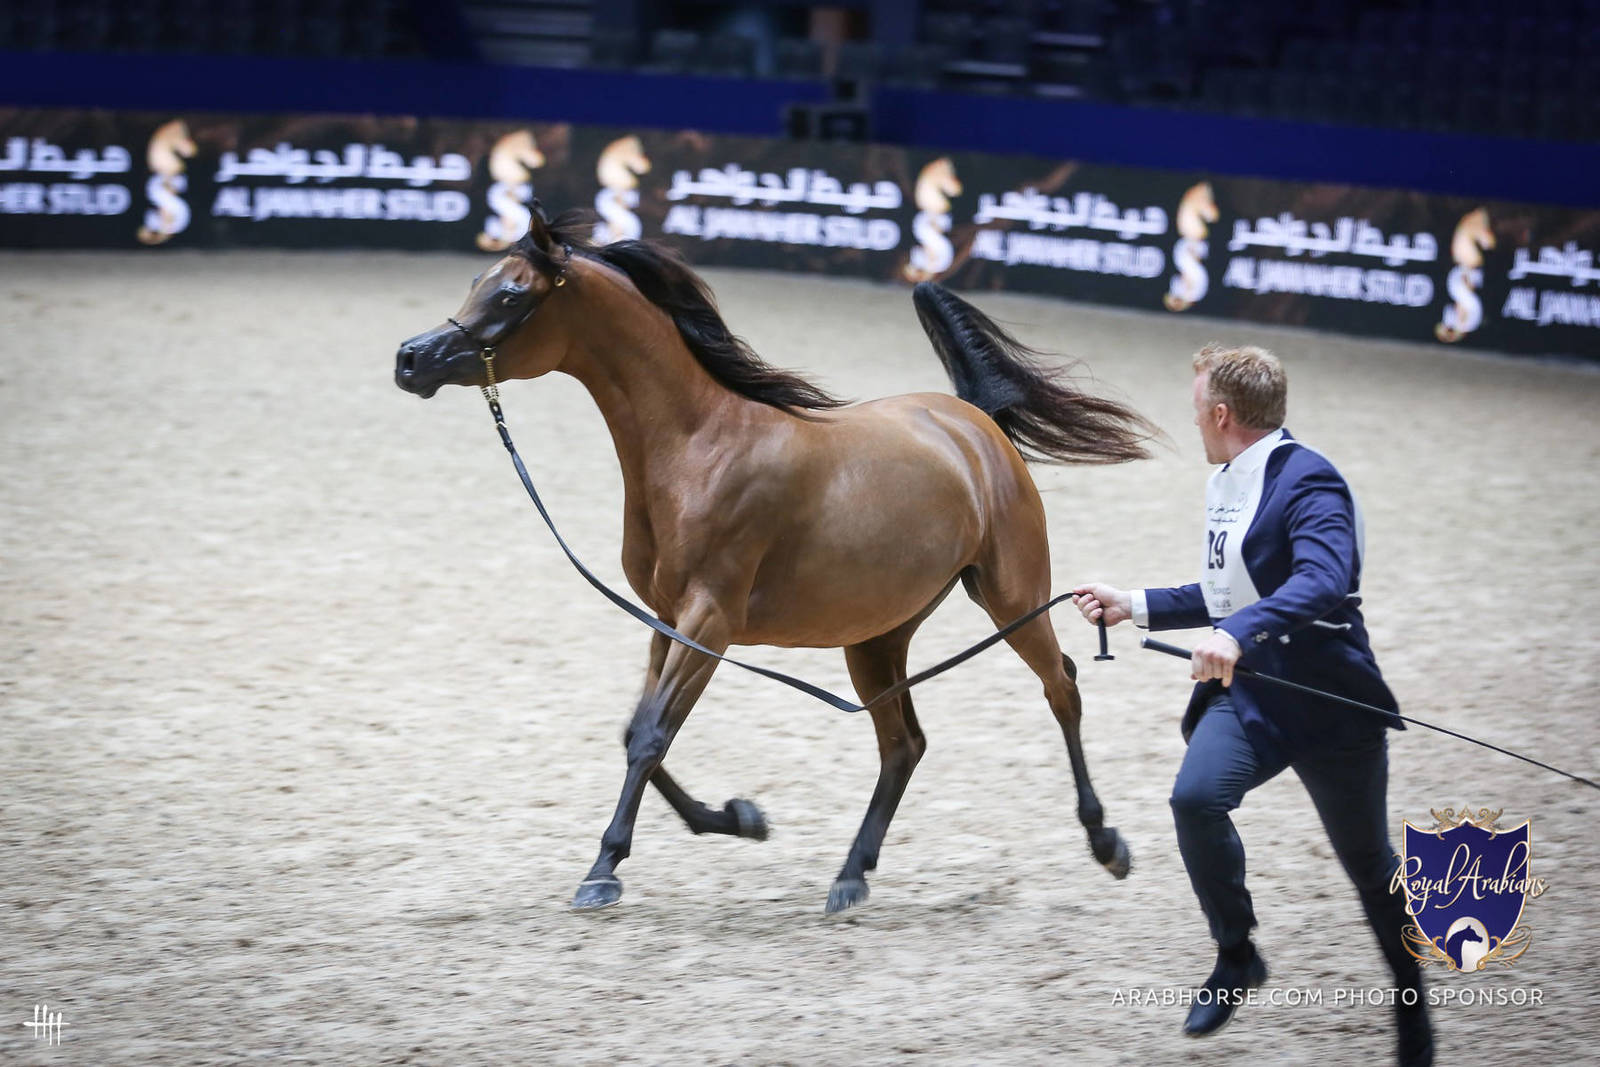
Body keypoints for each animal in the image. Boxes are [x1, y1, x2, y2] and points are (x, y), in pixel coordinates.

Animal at [394, 208, 1161, 914]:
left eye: (511, 295)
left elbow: (651, 735)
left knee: (1060, 687)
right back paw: (851, 875)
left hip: (1012, 596)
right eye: (477, 281)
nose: (410, 358)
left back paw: (1107, 843)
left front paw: (604, 870)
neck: (698, 447)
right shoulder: (665, 617)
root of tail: (975, 425)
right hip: (877, 635)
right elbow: (638, 730)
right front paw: (740, 818)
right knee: (904, 742)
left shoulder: (709, 620)